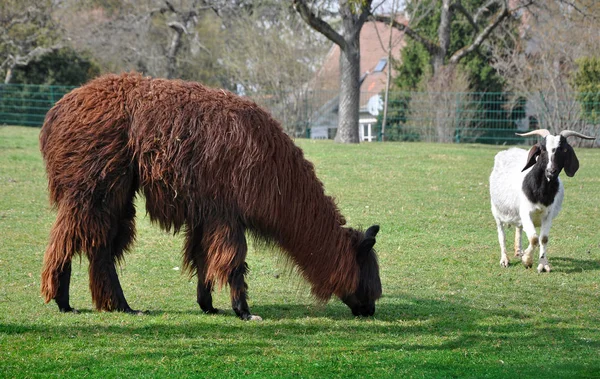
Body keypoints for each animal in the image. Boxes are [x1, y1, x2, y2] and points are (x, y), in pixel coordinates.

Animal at [490, 130, 592, 274]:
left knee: (519, 228)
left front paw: (543, 264)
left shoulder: (547, 215)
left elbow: (543, 239)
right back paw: (505, 259)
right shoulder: (526, 213)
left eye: (564, 149)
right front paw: (527, 260)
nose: (551, 171)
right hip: (496, 211)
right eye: (543, 149)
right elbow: (534, 239)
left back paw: (518, 251)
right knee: (501, 234)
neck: (540, 192)